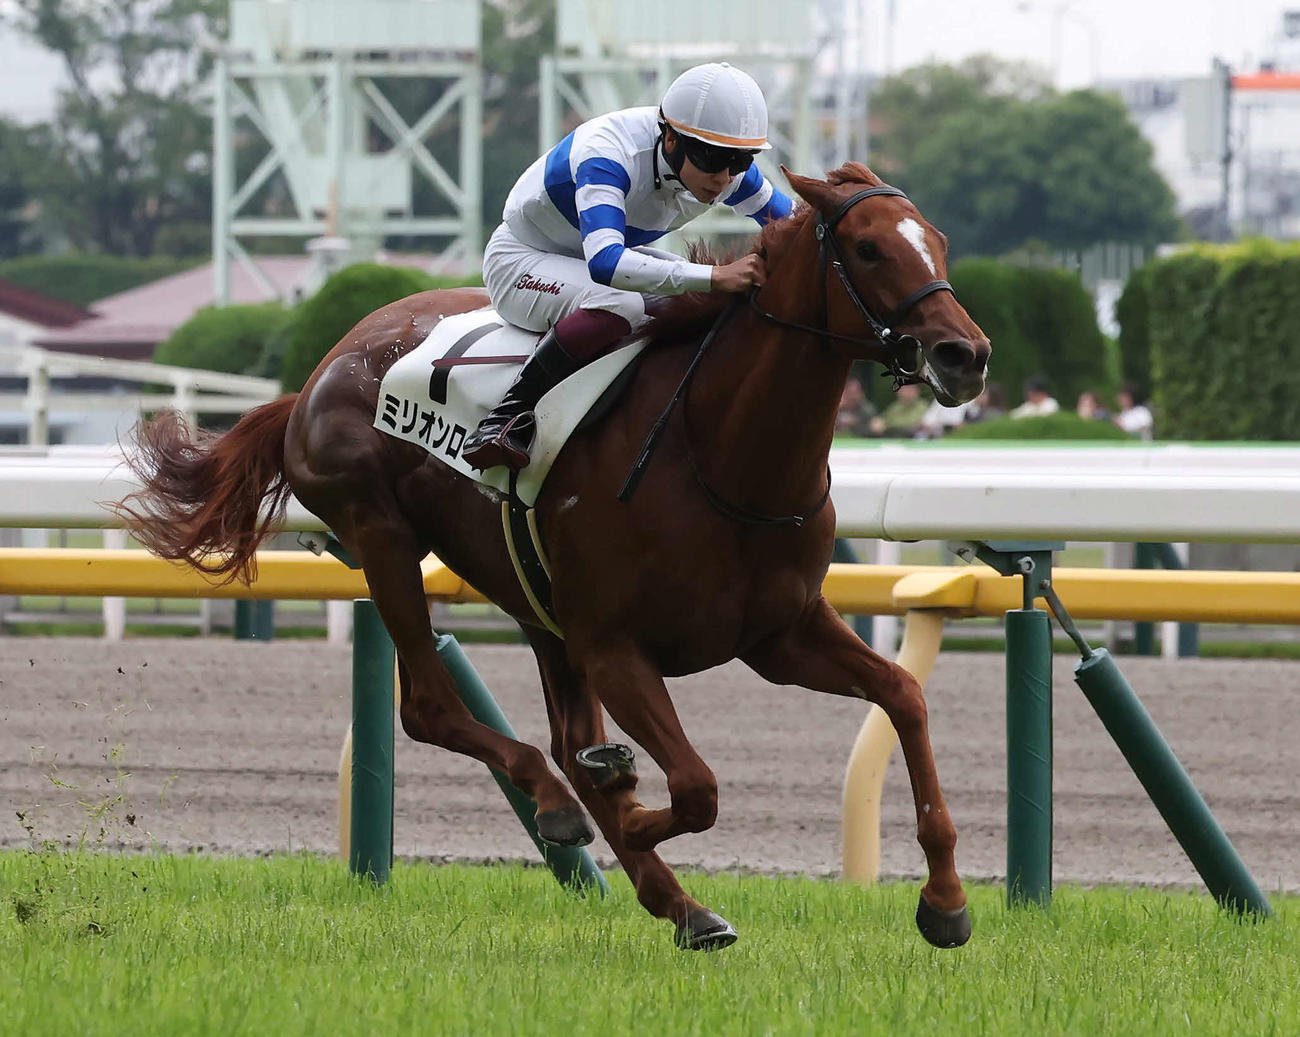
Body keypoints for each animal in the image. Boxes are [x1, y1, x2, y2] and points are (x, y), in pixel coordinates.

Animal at [116, 162, 990, 951]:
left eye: (940, 241)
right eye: (869, 248)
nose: (965, 354)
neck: (717, 450)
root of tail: (318, 373)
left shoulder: (780, 633)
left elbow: (904, 696)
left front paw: (946, 900)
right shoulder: (615, 645)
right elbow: (697, 788)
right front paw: (626, 806)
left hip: (534, 600)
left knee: (564, 735)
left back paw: (677, 897)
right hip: (384, 539)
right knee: (433, 707)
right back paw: (571, 807)